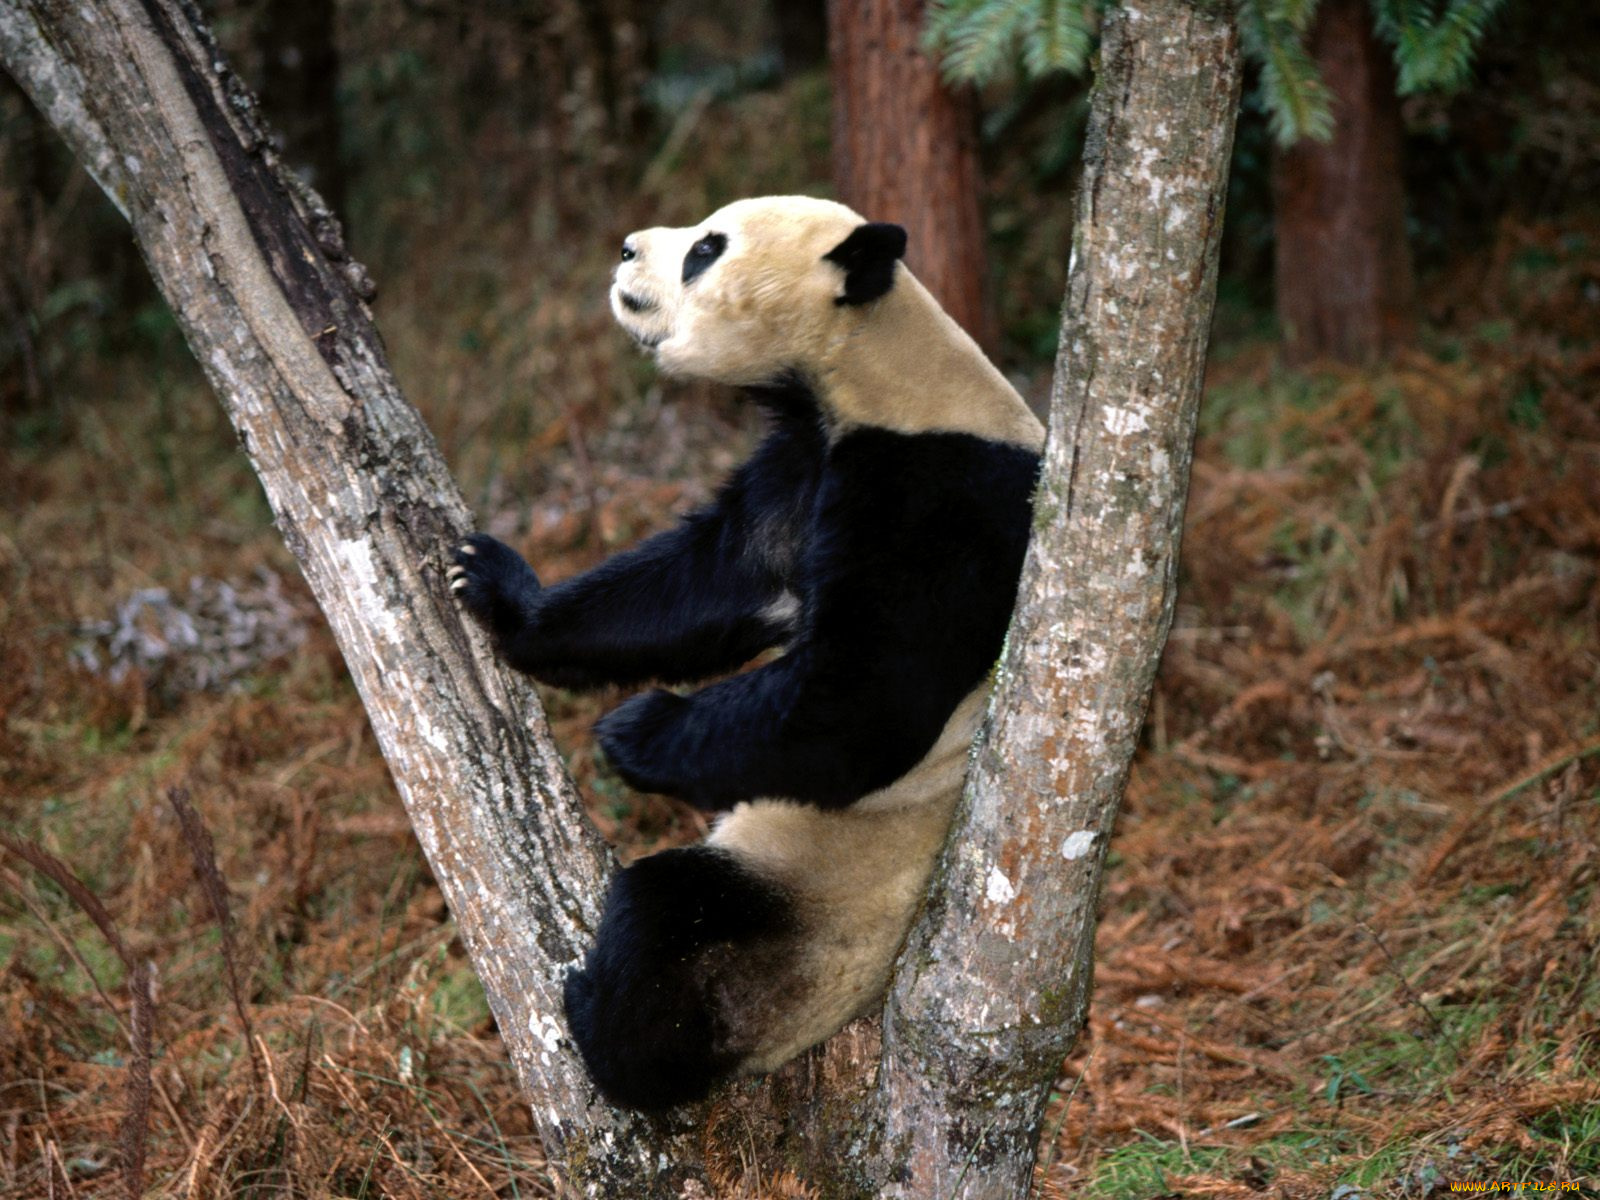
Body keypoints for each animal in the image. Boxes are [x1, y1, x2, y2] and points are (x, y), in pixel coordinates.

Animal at [449, 195, 1044, 1111]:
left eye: (705, 249)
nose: (627, 250)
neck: (873, 363)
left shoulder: (936, 491)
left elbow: (864, 701)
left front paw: (633, 732)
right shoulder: (801, 464)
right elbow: (703, 584)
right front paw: (499, 591)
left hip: (809, 898)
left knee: (665, 914)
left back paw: (609, 1036)